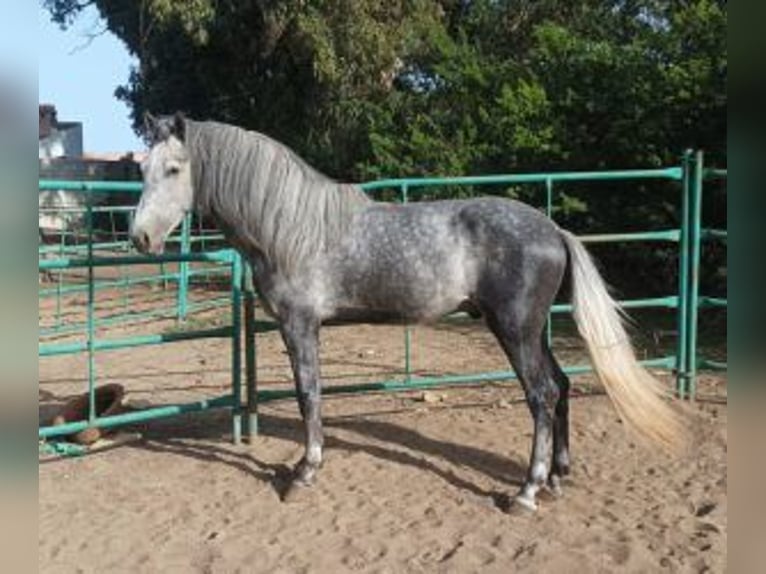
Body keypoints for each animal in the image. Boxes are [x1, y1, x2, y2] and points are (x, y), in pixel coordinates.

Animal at [131, 112, 682, 511]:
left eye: (174, 169)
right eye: (141, 170)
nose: (140, 238)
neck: (291, 229)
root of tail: (553, 231)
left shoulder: (299, 325)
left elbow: (308, 395)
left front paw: (304, 471)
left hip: (514, 330)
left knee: (541, 395)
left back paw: (526, 491)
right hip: (533, 331)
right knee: (562, 386)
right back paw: (556, 476)